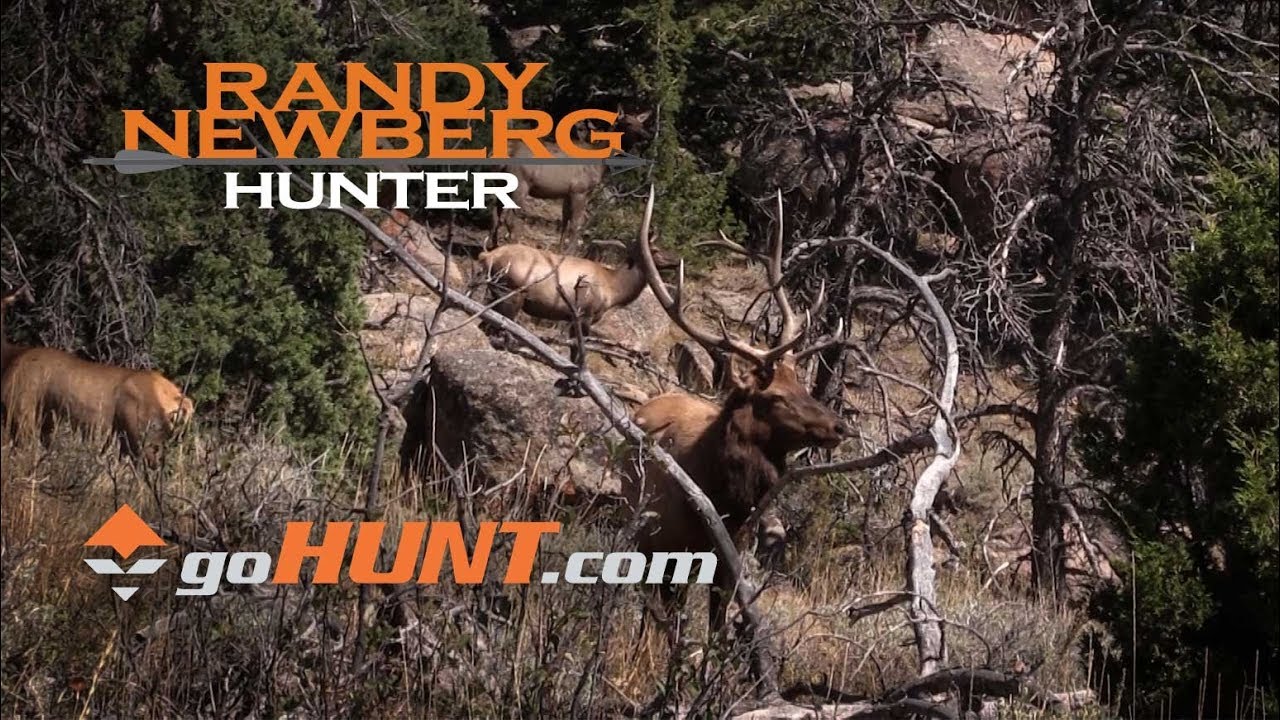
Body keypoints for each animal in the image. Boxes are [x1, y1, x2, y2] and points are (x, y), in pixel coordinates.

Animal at [624, 187, 849, 640]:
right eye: (775, 397)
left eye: (802, 385)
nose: (838, 425)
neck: (725, 503)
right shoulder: (670, 552)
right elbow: (675, 626)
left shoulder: (729, 561)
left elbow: (716, 624)